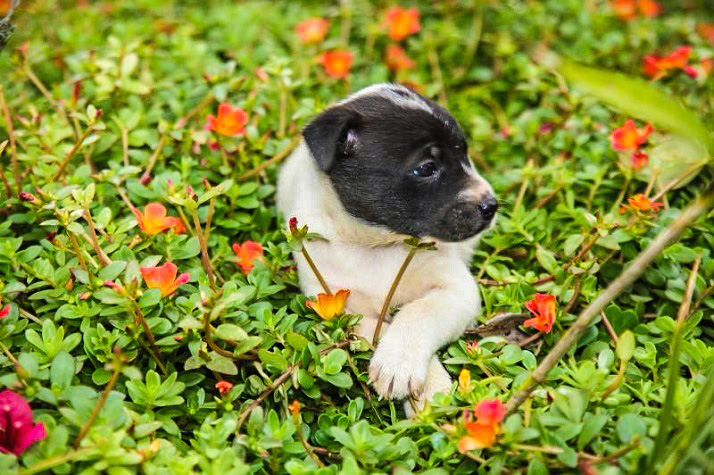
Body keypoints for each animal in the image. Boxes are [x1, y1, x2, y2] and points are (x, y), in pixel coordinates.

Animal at [274, 83, 496, 410]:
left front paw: (407, 371)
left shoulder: (456, 290)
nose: (492, 206)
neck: (376, 243)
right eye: (427, 168)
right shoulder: (336, 305)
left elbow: (419, 312)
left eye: (465, 155)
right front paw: (412, 375)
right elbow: (376, 328)